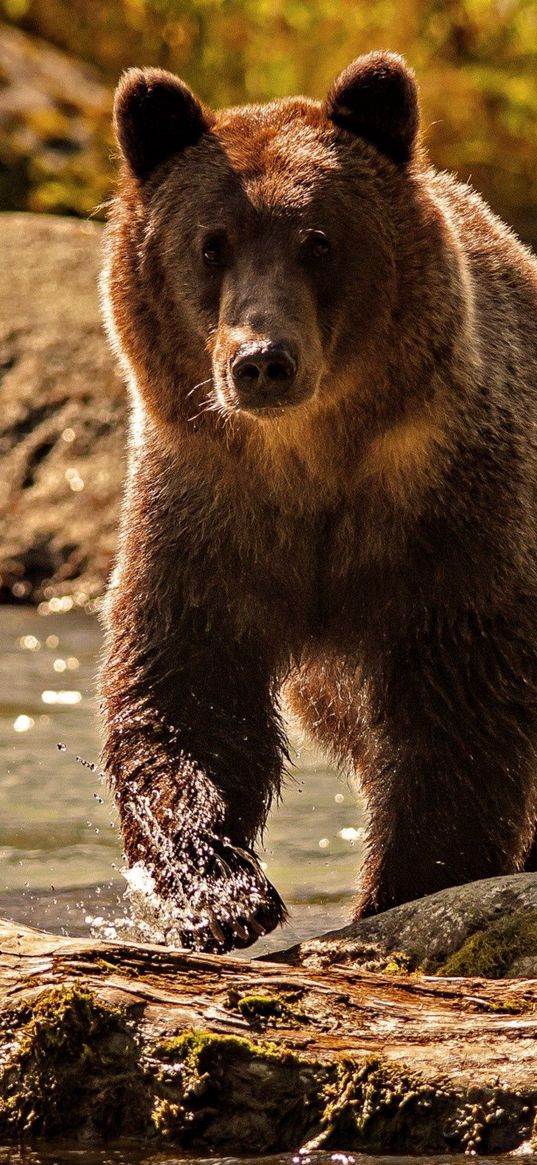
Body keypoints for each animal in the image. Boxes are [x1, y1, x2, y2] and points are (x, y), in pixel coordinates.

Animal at [98, 50, 535, 950]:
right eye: (210, 244)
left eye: (319, 240)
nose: (262, 359)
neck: (310, 461)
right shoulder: (205, 510)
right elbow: (184, 689)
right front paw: (220, 894)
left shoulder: (451, 514)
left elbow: (456, 712)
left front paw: (404, 886)